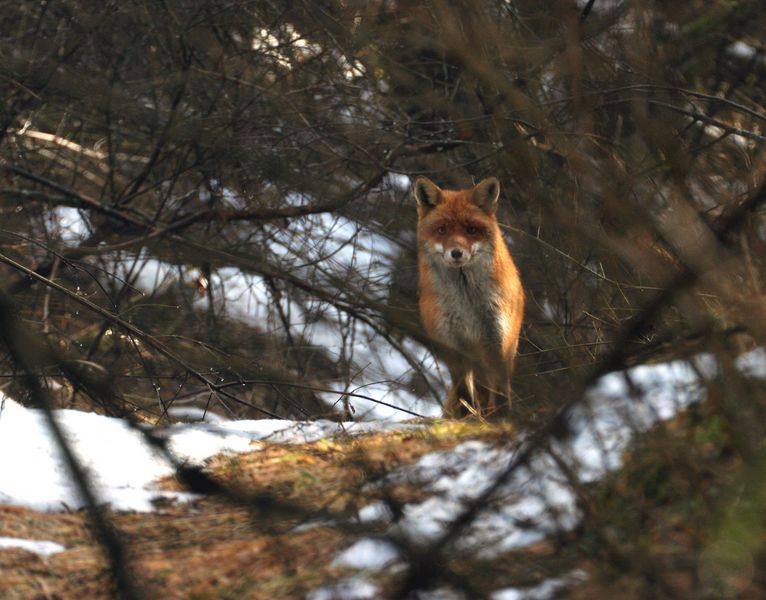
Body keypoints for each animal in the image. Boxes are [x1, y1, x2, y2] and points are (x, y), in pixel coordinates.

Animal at [414, 175, 528, 418]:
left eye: (471, 229)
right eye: (442, 230)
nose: (456, 253)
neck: (466, 303)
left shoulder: (495, 340)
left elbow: (497, 391)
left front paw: (500, 418)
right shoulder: (451, 343)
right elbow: (464, 393)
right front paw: (468, 418)